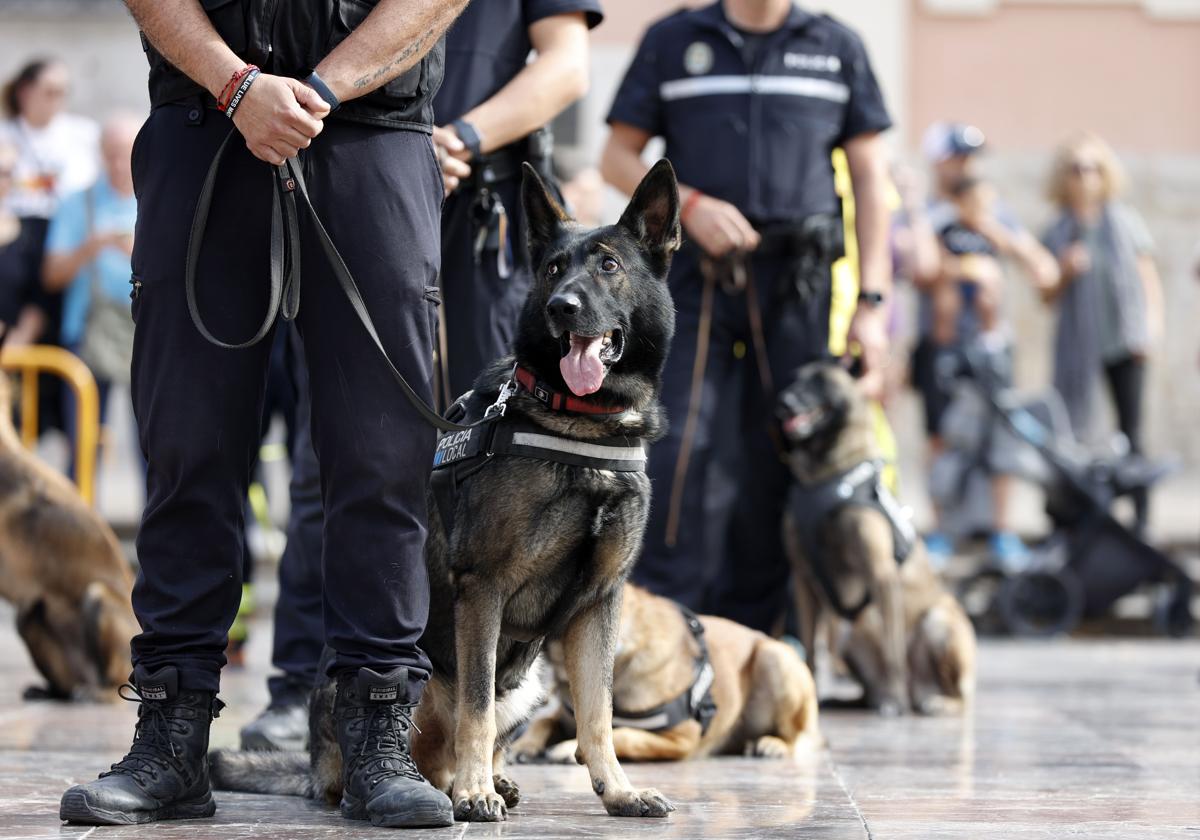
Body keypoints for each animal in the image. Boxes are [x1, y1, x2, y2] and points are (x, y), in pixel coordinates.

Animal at [213, 162, 686, 820]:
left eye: (609, 265)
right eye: (552, 269)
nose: (562, 307)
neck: (577, 420)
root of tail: (309, 766)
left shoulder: (599, 603)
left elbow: (598, 714)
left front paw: (617, 791)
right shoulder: (484, 590)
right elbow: (477, 709)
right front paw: (474, 793)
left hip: (532, 685)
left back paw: (488, 780)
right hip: (404, 674)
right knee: (410, 747)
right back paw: (426, 786)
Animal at [511, 583, 820, 763]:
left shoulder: (682, 739)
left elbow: (624, 735)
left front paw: (567, 748)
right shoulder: (562, 716)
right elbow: (543, 722)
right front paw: (524, 745)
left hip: (776, 658)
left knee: (797, 736)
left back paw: (773, 744)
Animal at [777, 360, 974, 715]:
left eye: (820, 382)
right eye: (794, 380)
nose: (783, 402)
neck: (823, 476)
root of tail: (919, 690)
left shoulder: (881, 574)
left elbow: (895, 653)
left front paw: (895, 703)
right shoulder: (803, 580)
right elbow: (810, 650)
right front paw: (811, 694)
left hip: (937, 622)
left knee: (958, 695)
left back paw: (925, 701)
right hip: (848, 636)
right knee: (867, 690)